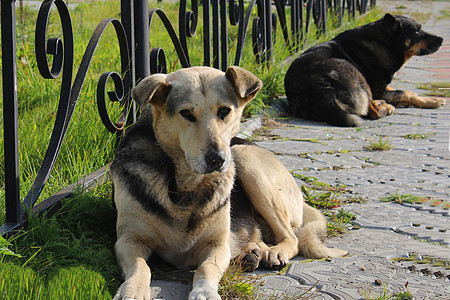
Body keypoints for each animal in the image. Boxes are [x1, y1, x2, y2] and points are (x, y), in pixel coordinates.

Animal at [109, 66, 344, 300]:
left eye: (224, 111)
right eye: (186, 113)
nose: (217, 159)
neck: (187, 184)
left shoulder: (218, 244)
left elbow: (206, 268)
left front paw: (204, 291)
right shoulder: (128, 240)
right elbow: (141, 266)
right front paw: (133, 290)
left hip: (244, 159)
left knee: (292, 238)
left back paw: (273, 252)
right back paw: (252, 253)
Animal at [284, 13, 442, 126]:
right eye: (416, 32)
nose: (442, 39)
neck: (383, 43)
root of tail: (320, 87)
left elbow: (401, 90)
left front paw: (431, 99)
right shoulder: (379, 91)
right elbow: (405, 93)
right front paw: (432, 101)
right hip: (353, 71)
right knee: (373, 112)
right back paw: (385, 107)